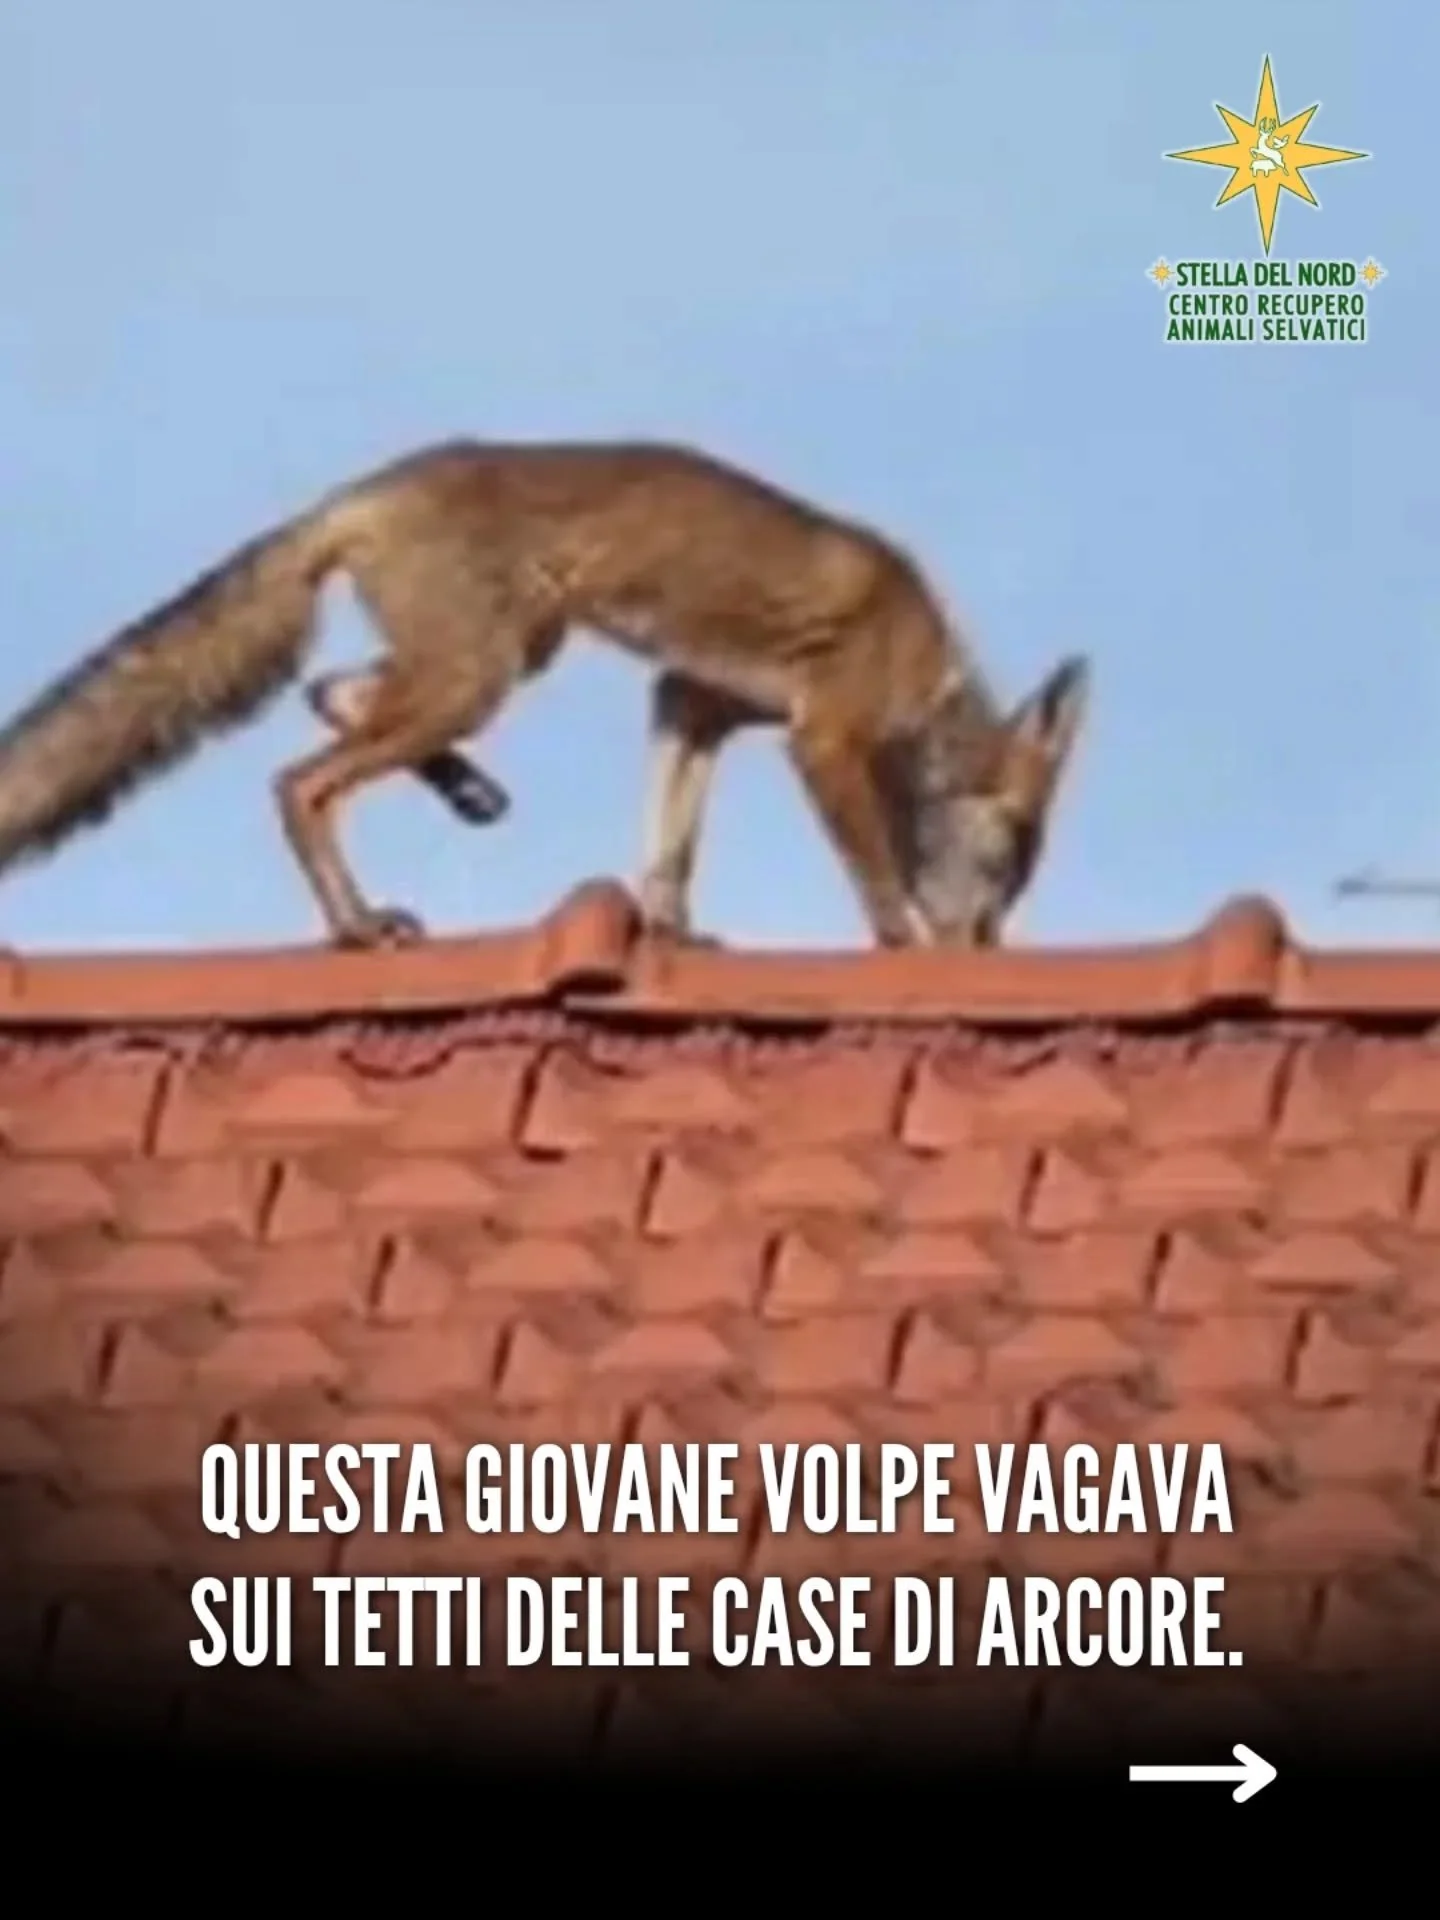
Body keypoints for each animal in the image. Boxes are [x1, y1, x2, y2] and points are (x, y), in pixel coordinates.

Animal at [0, 438, 1089, 951]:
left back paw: (463, 792)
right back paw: (355, 925)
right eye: (1007, 857)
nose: (986, 952)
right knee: (300, 783)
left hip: (506, 658)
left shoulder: (692, 702)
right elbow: (872, 877)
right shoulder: (821, 738)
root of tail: (368, 489)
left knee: (328, 691)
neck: (925, 682)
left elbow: (668, 850)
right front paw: (902, 945)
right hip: (474, 680)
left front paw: (673, 931)